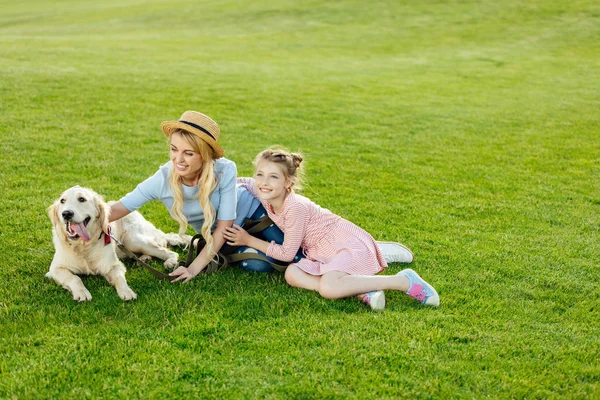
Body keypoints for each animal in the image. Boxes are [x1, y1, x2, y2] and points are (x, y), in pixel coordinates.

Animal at [47, 186, 190, 302]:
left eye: (81, 199)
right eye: (62, 201)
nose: (66, 213)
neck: (83, 246)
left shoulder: (114, 265)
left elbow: (119, 278)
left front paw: (127, 291)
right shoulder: (55, 269)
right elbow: (74, 278)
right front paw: (82, 293)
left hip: (132, 240)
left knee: (167, 250)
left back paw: (169, 262)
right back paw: (144, 259)